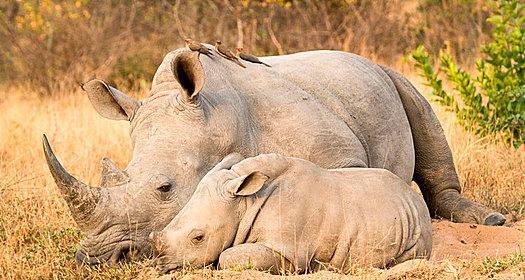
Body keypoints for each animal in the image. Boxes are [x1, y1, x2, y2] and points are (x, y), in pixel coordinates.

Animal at [151, 153, 430, 274]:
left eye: (198, 238)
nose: (159, 266)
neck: (244, 203)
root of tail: (412, 195)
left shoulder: (289, 250)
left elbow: (229, 257)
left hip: (416, 229)